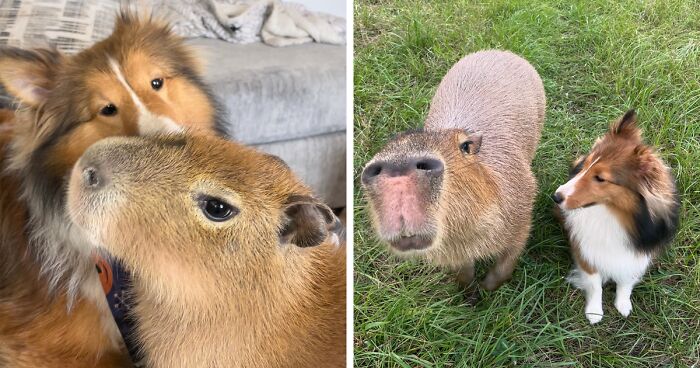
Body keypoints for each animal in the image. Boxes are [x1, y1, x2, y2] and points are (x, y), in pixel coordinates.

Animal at [552, 110, 680, 324]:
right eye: (585, 166)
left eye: (600, 178)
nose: (556, 196)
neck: (612, 214)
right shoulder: (585, 250)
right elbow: (594, 282)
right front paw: (594, 312)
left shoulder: (636, 255)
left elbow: (626, 280)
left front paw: (623, 304)